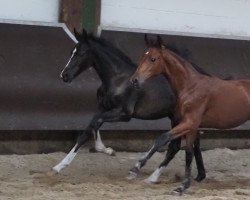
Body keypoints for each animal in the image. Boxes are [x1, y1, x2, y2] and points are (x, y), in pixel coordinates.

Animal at [51, 28, 206, 182]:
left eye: (81, 53)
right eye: (71, 52)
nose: (64, 75)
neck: (118, 79)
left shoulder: (124, 114)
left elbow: (95, 123)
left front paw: (105, 150)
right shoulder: (102, 107)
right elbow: (88, 129)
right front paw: (59, 166)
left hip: (178, 118)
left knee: (176, 146)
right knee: (192, 142)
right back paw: (199, 175)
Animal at [131, 34, 250, 195]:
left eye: (153, 59)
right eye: (142, 57)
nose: (134, 80)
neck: (191, 86)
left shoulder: (190, 123)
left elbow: (166, 141)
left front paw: (137, 168)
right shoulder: (189, 126)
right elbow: (186, 151)